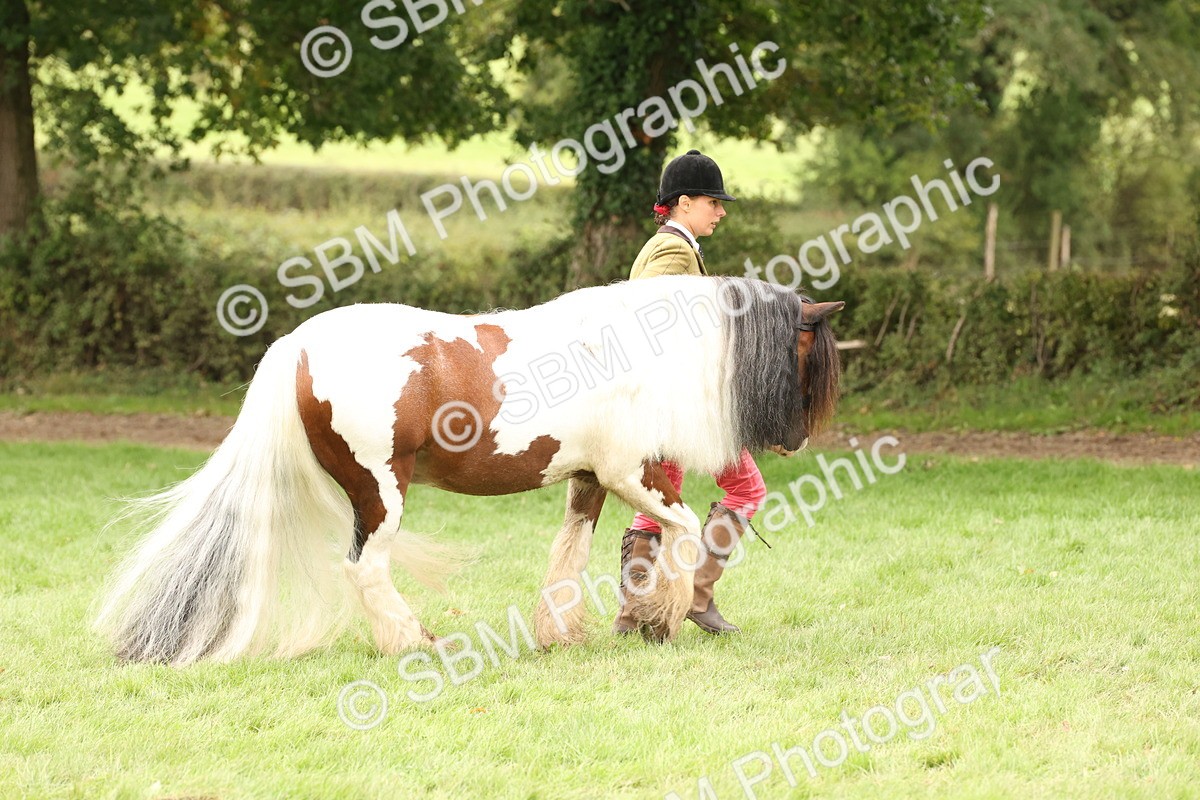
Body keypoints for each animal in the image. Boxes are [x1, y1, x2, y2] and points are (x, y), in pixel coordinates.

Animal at [94, 275, 843, 666]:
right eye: (809, 350)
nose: (795, 442)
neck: (642, 348)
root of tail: (298, 345)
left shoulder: (590, 481)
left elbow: (571, 552)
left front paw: (562, 633)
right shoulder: (634, 474)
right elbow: (684, 533)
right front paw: (664, 618)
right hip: (380, 493)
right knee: (364, 568)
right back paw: (414, 643)